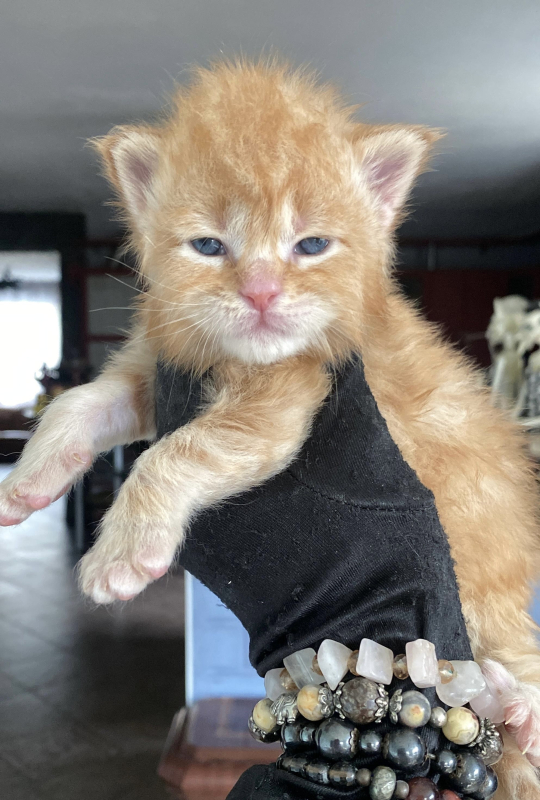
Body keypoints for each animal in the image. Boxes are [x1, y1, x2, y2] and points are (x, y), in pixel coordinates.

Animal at [1, 59, 539, 797]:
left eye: (310, 246)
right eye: (207, 246)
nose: (259, 291)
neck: (237, 356)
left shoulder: (285, 398)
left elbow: (173, 454)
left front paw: (120, 556)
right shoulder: (159, 369)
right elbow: (76, 404)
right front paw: (27, 483)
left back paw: (518, 707)